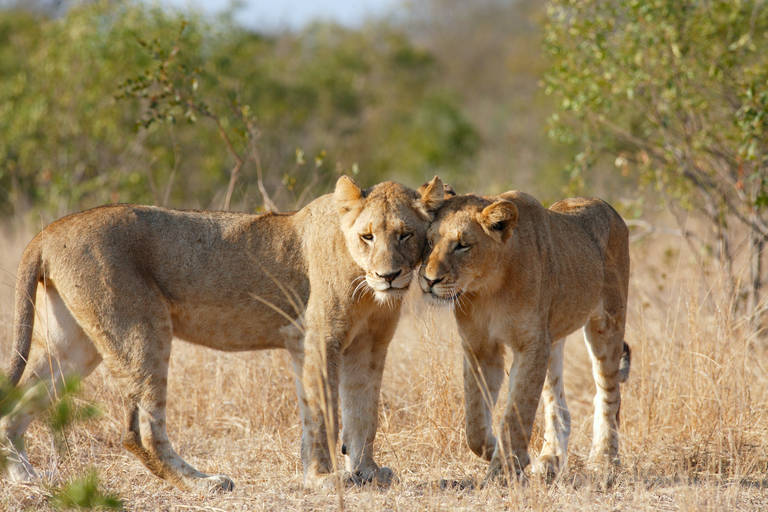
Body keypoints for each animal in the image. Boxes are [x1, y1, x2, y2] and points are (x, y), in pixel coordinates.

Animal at [1, 176, 444, 492]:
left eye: (405, 234)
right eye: (367, 236)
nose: (389, 275)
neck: (365, 287)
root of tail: (49, 231)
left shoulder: (368, 345)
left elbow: (362, 410)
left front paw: (366, 471)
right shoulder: (319, 339)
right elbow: (324, 414)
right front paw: (324, 478)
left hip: (73, 347)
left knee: (16, 406)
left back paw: (27, 479)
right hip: (143, 330)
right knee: (139, 430)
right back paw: (202, 484)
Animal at [420, 191, 632, 484]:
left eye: (462, 245)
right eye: (429, 242)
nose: (429, 280)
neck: (488, 288)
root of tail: (606, 205)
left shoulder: (531, 344)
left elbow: (518, 409)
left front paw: (504, 469)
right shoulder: (480, 347)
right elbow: (474, 420)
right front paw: (493, 448)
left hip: (606, 323)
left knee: (609, 395)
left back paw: (604, 461)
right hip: (553, 338)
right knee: (558, 406)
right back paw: (550, 460)